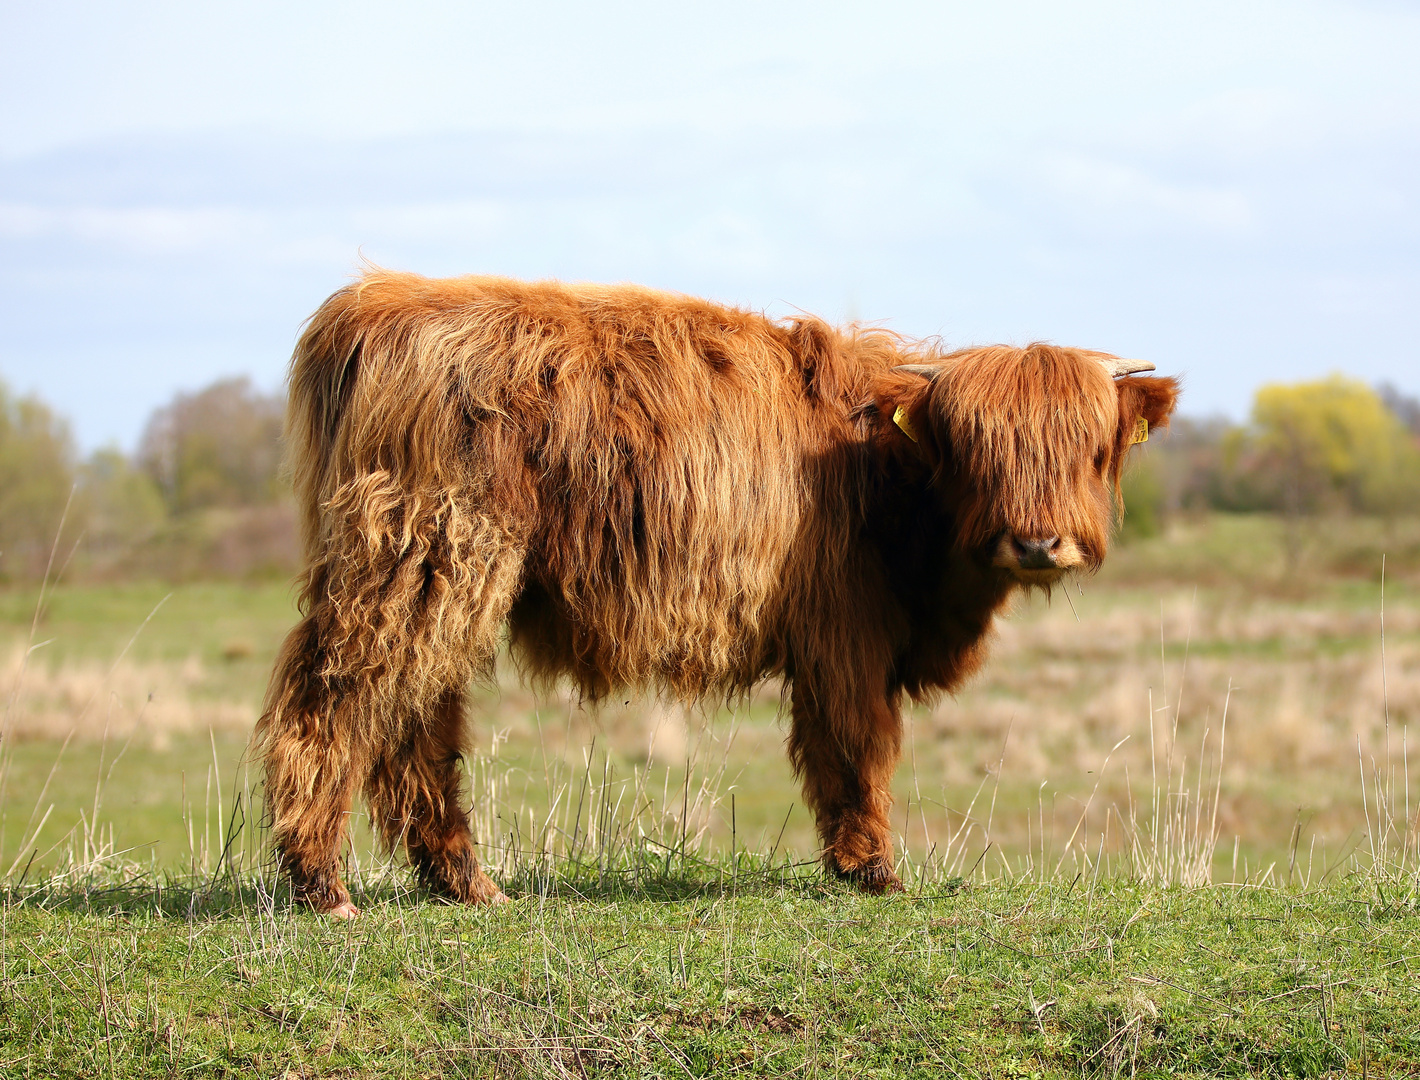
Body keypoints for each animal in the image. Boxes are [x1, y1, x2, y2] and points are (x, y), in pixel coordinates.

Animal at [255, 268, 1175, 908]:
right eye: (980, 445)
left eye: (1088, 446)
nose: (1036, 542)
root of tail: (378, 303)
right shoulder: (844, 633)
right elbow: (857, 744)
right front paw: (872, 869)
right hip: (424, 559)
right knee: (335, 699)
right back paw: (322, 886)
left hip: (439, 580)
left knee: (418, 720)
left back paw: (463, 883)